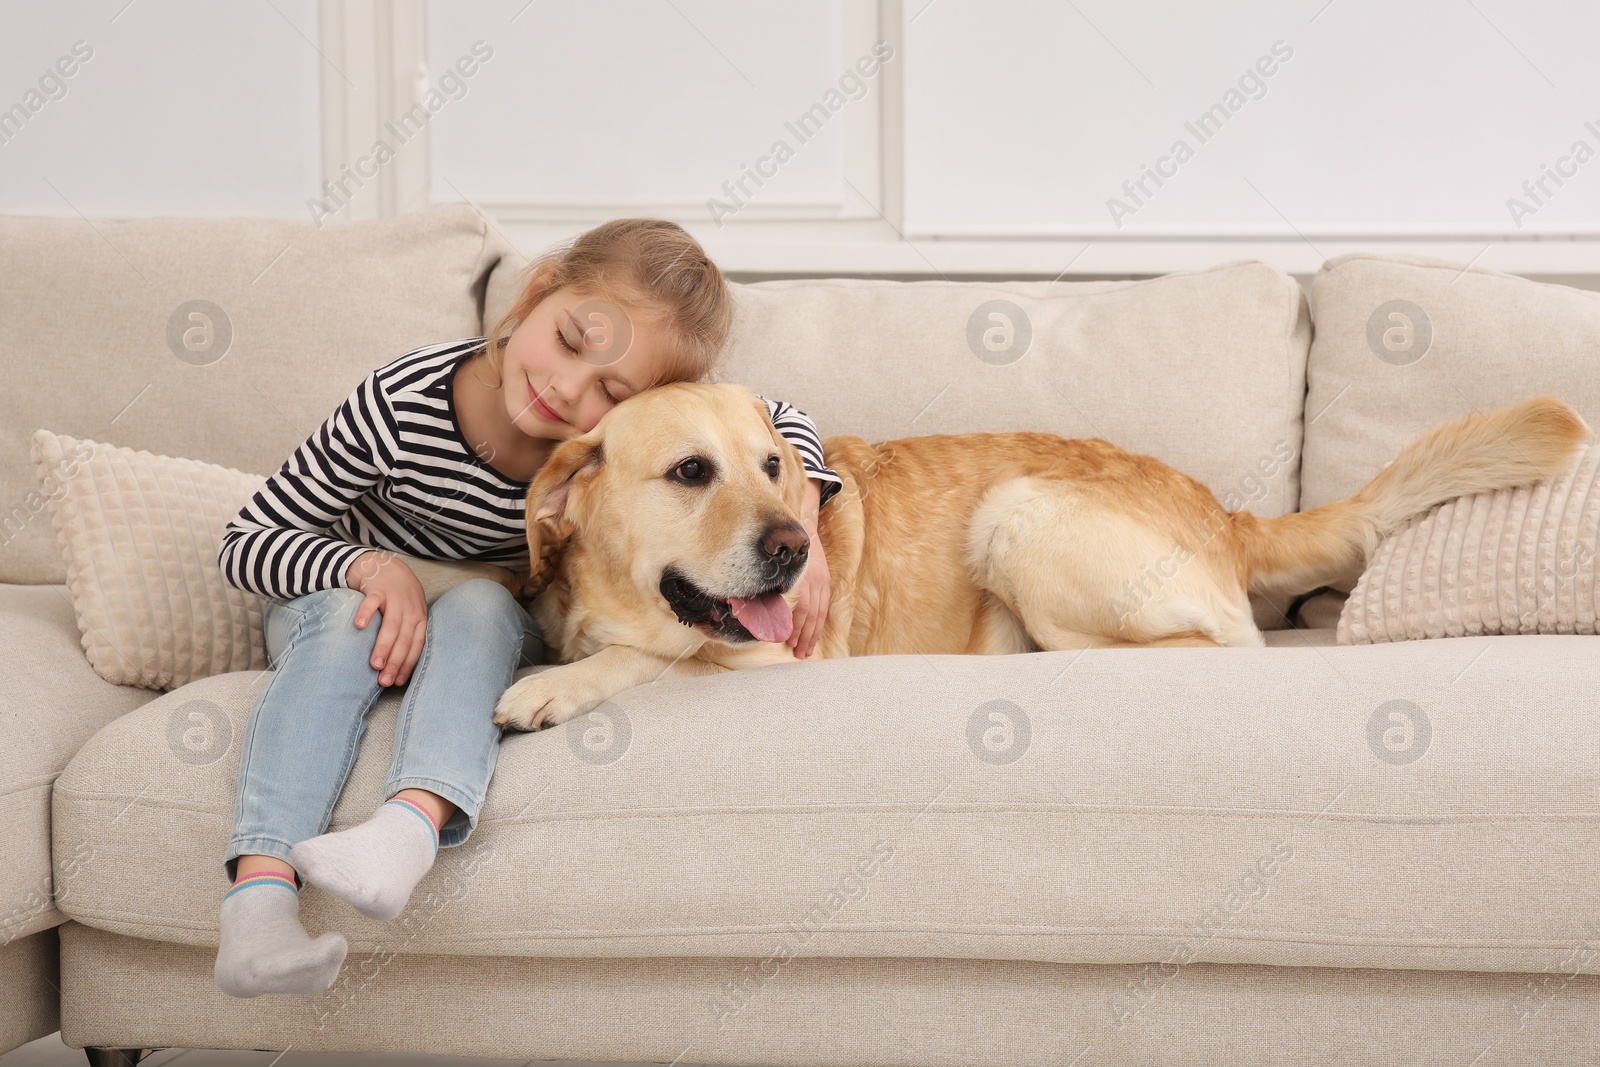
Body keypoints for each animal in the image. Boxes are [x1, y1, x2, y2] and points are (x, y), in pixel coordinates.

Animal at [489, 385, 1587, 735]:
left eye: (770, 466)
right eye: (690, 470)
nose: (797, 548)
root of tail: (1225, 511)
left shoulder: (767, 657)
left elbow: (654, 657)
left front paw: (552, 686)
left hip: (1016, 514)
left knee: (1216, 648)